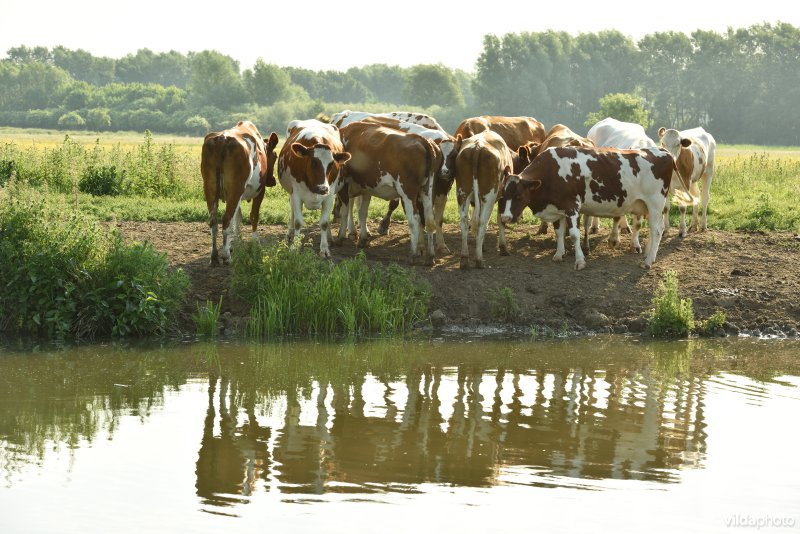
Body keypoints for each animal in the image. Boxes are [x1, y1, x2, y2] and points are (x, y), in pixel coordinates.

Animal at [202, 120, 280, 264]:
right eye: (275, 156)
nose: (272, 181)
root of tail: (222, 138)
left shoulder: (234, 196)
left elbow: (237, 218)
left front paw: (234, 243)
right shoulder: (259, 191)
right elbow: (253, 216)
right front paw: (255, 242)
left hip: (210, 188)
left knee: (214, 221)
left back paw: (214, 256)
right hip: (236, 189)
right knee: (226, 219)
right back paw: (226, 256)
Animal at [278, 119, 350, 260]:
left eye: (332, 164)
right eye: (313, 162)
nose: (322, 188)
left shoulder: (329, 196)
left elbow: (324, 222)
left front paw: (324, 249)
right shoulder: (296, 195)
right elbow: (298, 222)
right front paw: (294, 247)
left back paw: (329, 238)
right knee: (293, 213)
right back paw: (290, 234)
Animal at [336, 120, 438, 264]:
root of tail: (421, 140)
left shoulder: (344, 185)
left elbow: (345, 212)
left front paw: (340, 238)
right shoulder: (366, 187)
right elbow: (362, 212)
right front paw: (362, 239)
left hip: (407, 192)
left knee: (414, 219)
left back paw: (413, 254)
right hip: (426, 191)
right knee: (429, 219)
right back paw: (430, 256)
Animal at [450, 132, 512, 270]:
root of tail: (478, 146)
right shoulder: (503, 196)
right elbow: (500, 220)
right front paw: (503, 247)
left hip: (462, 192)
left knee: (464, 221)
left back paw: (464, 259)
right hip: (489, 195)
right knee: (482, 222)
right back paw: (479, 260)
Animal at [500, 146, 692, 270]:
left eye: (518, 196)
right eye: (503, 195)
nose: (505, 218)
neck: (551, 171)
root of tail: (661, 150)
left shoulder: (572, 206)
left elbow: (574, 235)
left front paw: (579, 261)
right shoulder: (558, 207)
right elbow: (559, 232)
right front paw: (559, 254)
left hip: (655, 202)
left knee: (657, 230)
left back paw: (649, 261)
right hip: (646, 205)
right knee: (652, 230)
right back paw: (647, 254)